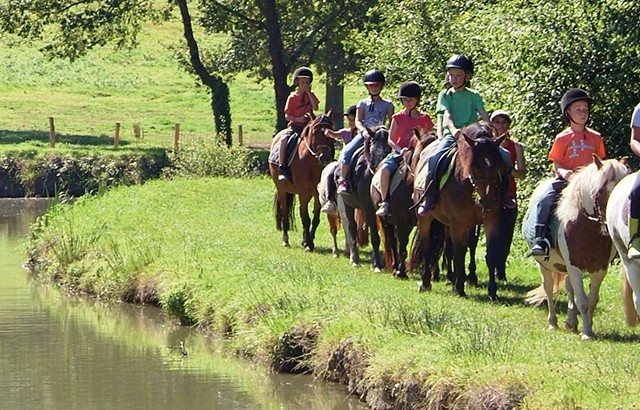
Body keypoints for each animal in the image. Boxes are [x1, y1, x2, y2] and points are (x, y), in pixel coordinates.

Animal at [268, 112, 336, 250]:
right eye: (314, 132)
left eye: (330, 131)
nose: (325, 157)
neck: (310, 163)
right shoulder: (303, 192)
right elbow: (306, 219)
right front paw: (308, 244)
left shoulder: (316, 193)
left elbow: (315, 219)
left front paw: (309, 241)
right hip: (282, 190)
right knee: (284, 212)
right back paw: (286, 240)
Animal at [340, 126, 390, 270]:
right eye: (372, 152)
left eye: (388, 151)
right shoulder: (369, 208)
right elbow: (374, 237)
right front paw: (377, 265)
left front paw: (379, 261)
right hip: (347, 204)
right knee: (351, 228)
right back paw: (354, 259)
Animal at [412, 121, 508, 298]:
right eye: (476, 166)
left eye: (498, 166)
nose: (487, 201)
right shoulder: (458, 224)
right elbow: (459, 253)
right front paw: (459, 288)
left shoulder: (490, 221)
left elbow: (489, 254)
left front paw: (492, 291)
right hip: (425, 218)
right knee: (428, 246)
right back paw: (426, 282)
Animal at [524, 157, 632, 340]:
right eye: (599, 191)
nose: (610, 222)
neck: (587, 229)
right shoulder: (574, 266)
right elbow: (583, 301)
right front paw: (586, 333)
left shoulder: (600, 269)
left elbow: (592, 299)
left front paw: (588, 328)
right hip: (544, 265)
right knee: (548, 288)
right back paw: (553, 323)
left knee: (568, 287)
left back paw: (571, 322)